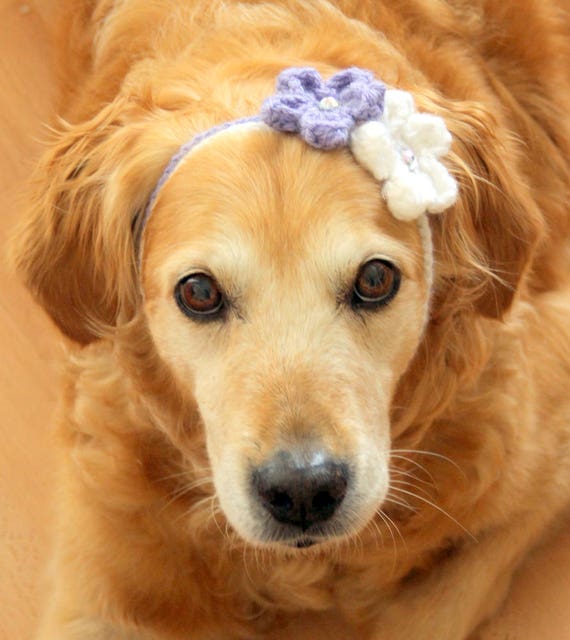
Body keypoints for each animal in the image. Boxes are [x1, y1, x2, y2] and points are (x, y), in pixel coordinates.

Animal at [11, 1, 568, 640]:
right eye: (199, 292)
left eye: (375, 280)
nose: (303, 492)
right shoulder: (99, 565)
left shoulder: (542, 450)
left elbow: (425, 612)